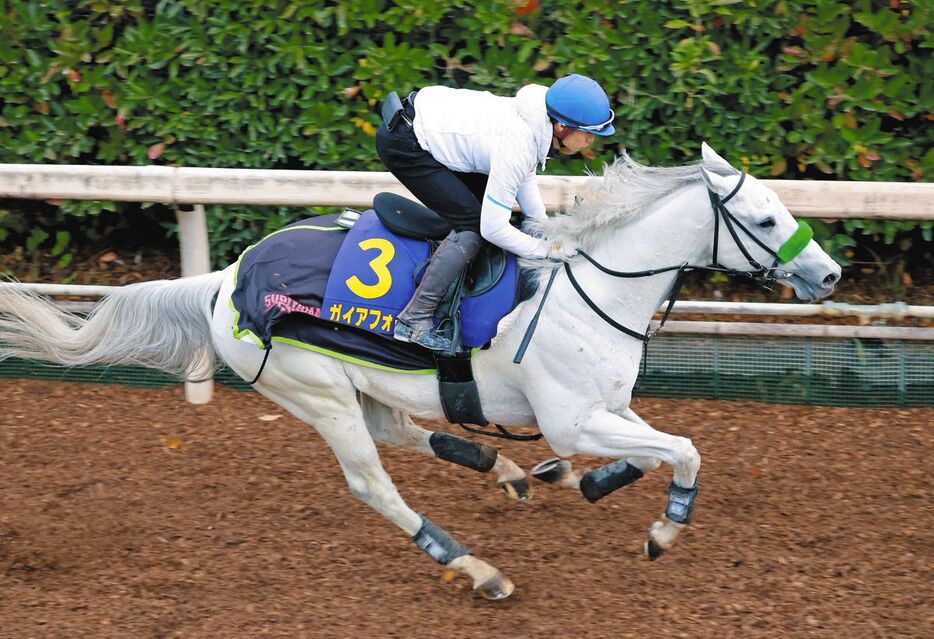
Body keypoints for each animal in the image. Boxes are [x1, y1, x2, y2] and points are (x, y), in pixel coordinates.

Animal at [0, 144, 840, 600]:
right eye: (765, 219)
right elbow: (685, 448)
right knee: (374, 478)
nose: (830, 274)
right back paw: (477, 566)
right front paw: (663, 530)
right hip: (317, 393)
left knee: (408, 431)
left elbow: (653, 448)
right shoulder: (574, 415)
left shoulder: (604, 407)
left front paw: (580, 478)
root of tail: (225, 279)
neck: (590, 288)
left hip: (356, 385)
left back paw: (506, 469)